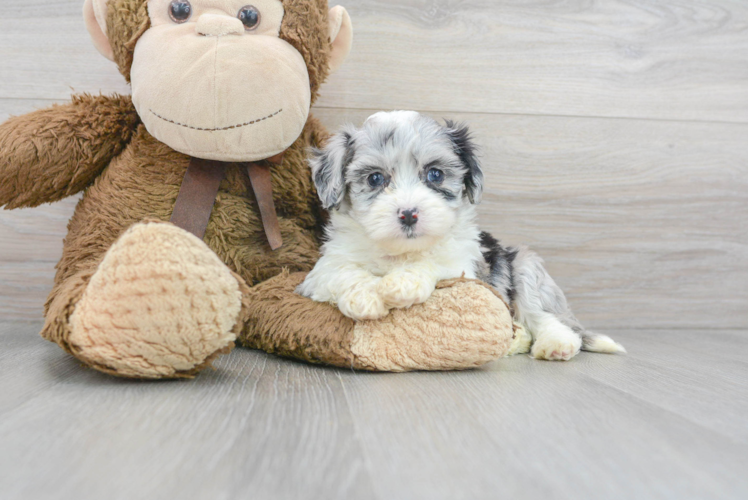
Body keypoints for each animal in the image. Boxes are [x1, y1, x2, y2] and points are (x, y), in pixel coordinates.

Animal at [296, 110, 624, 360]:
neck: (402, 251)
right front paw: (364, 297)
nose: (409, 214)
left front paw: (402, 283)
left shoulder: (465, 267)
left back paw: (556, 343)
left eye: (435, 174)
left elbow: (435, 262)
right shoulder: (317, 275)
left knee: (542, 315)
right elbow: (341, 271)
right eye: (375, 178)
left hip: (523, 264)